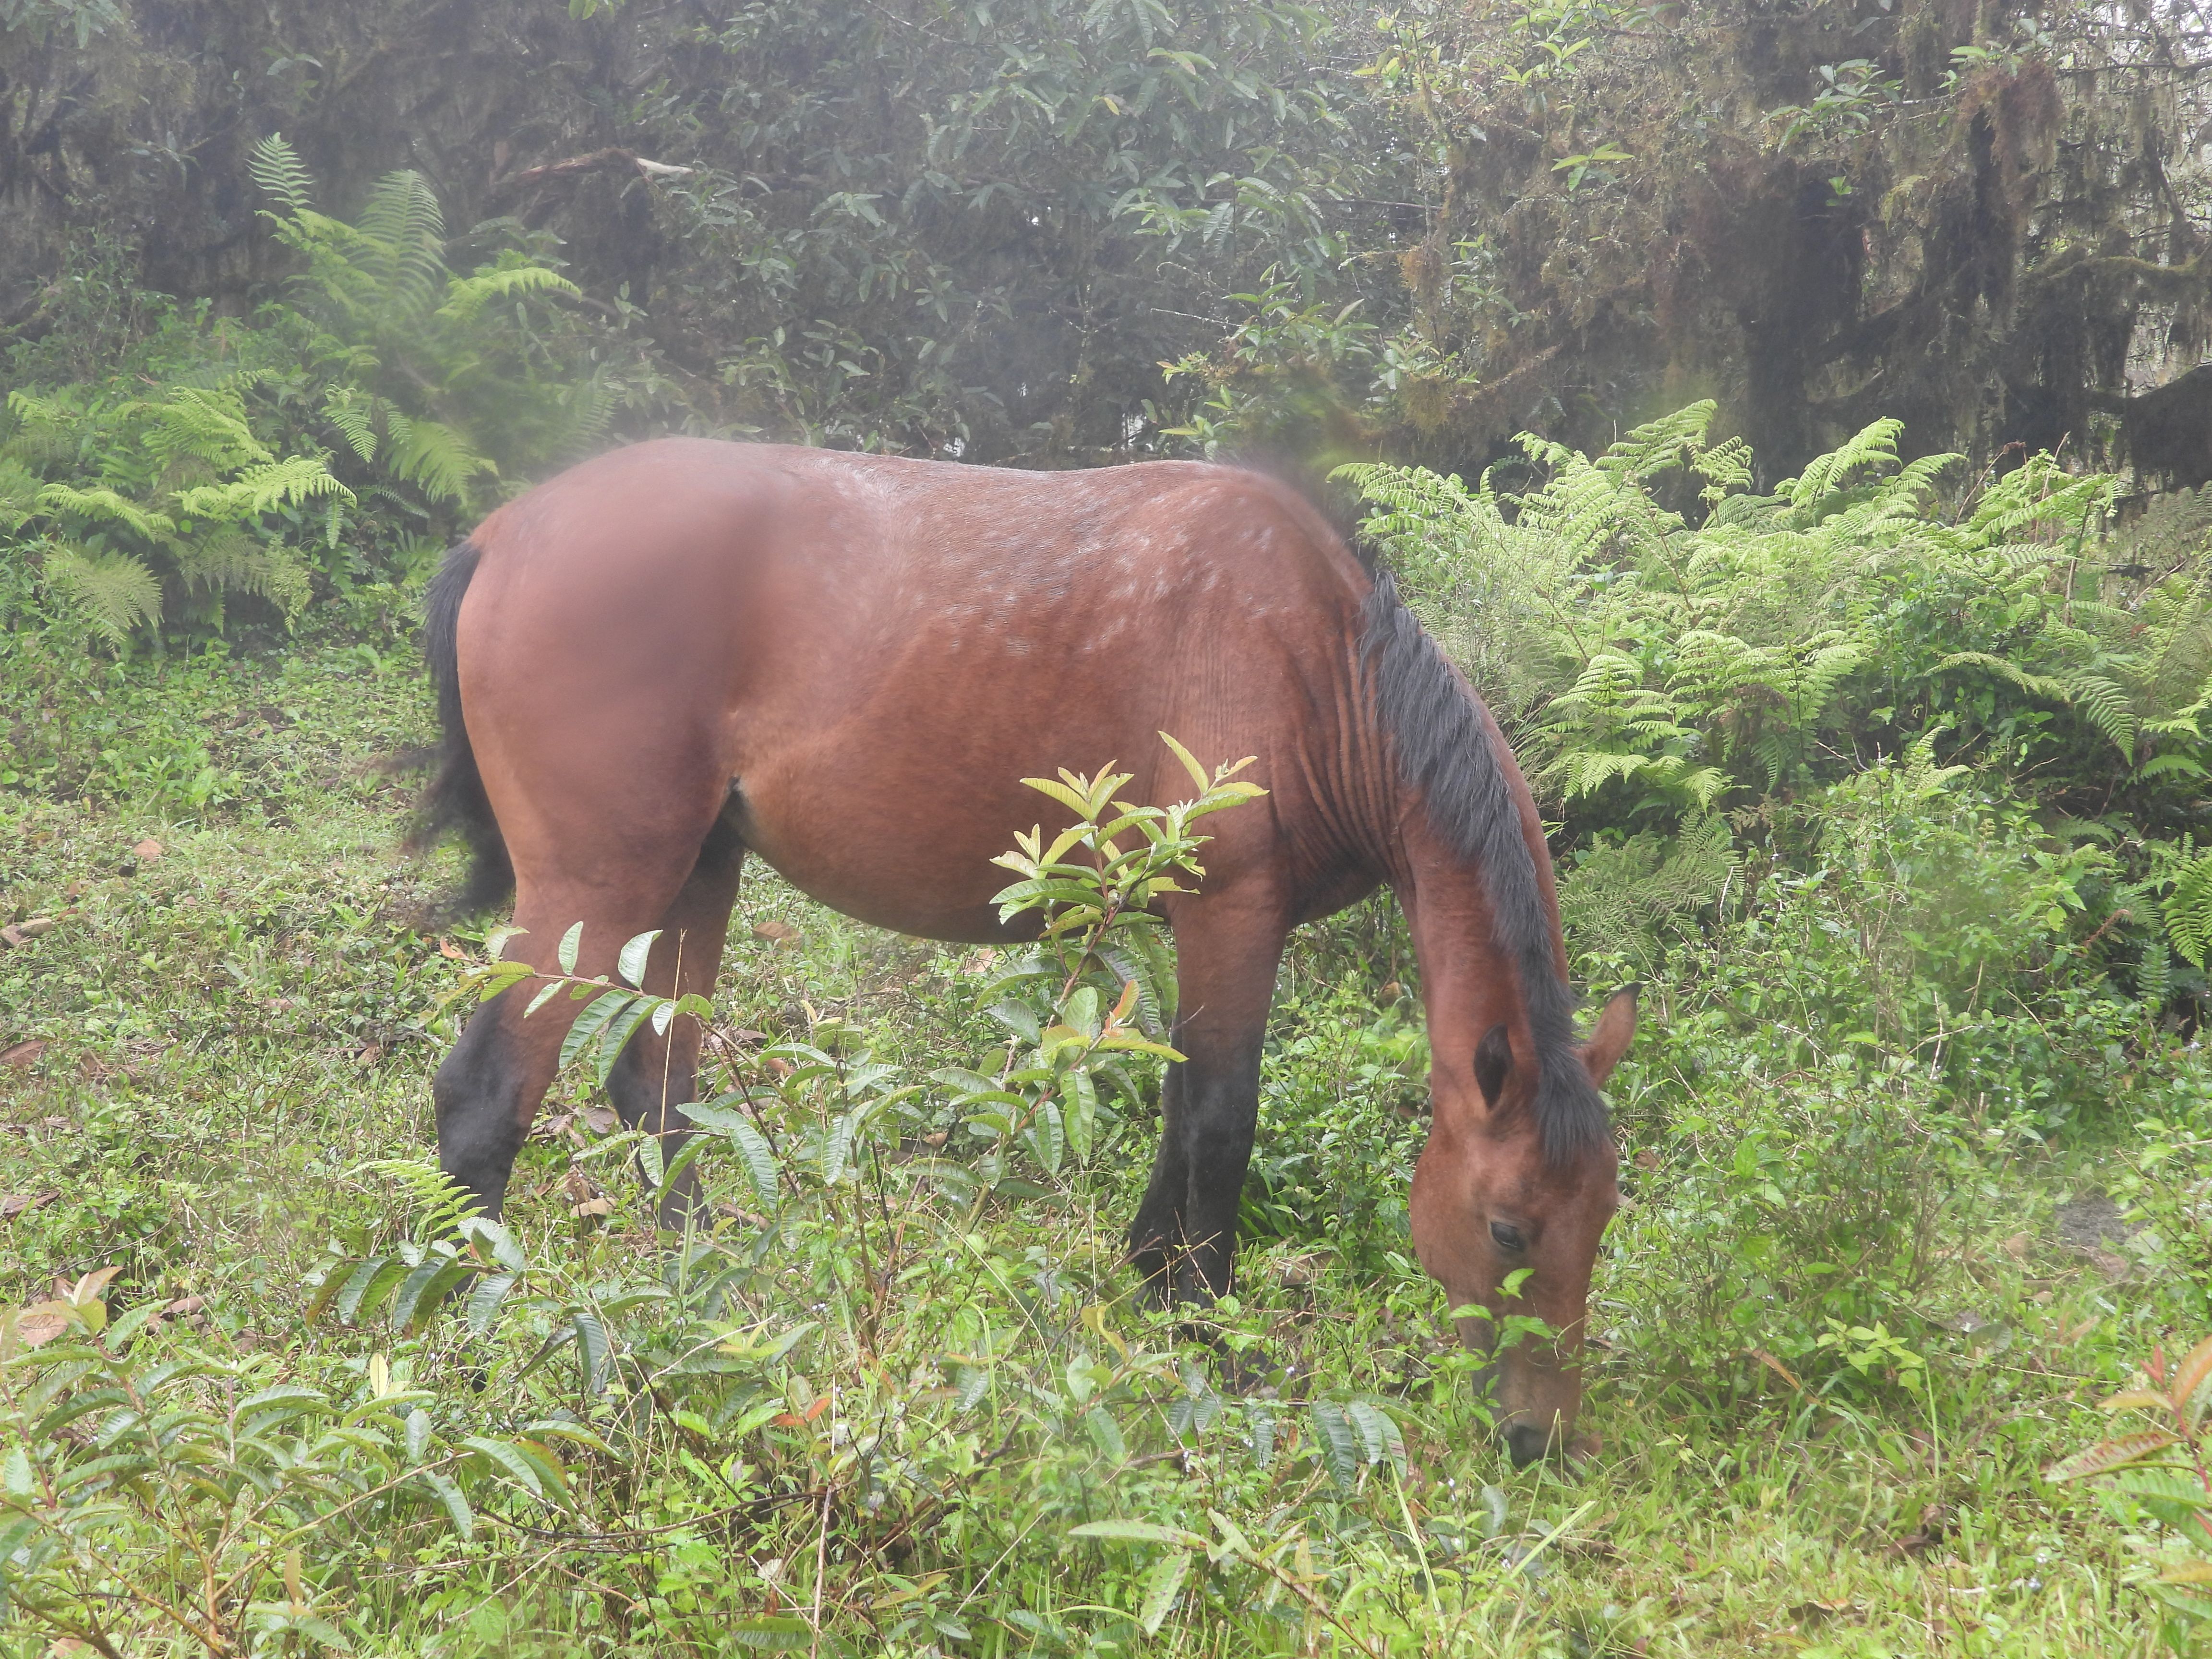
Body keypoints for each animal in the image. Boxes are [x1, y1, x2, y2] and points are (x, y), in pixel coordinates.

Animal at [415, 438, 1635, 1463]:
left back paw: (714, 1299)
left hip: (696, 871)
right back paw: (465, 1346)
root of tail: (507, 531)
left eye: (1601, 1218)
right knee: (487, 1094)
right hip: (596, 888)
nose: (1541, 1440)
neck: (1319, 664)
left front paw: (1149, 1281)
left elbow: (1181, 1106)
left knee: (655, 1085)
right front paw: (1205, 1333)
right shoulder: (1232, 914)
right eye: (1508, 1226)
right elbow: (1220, 1119)